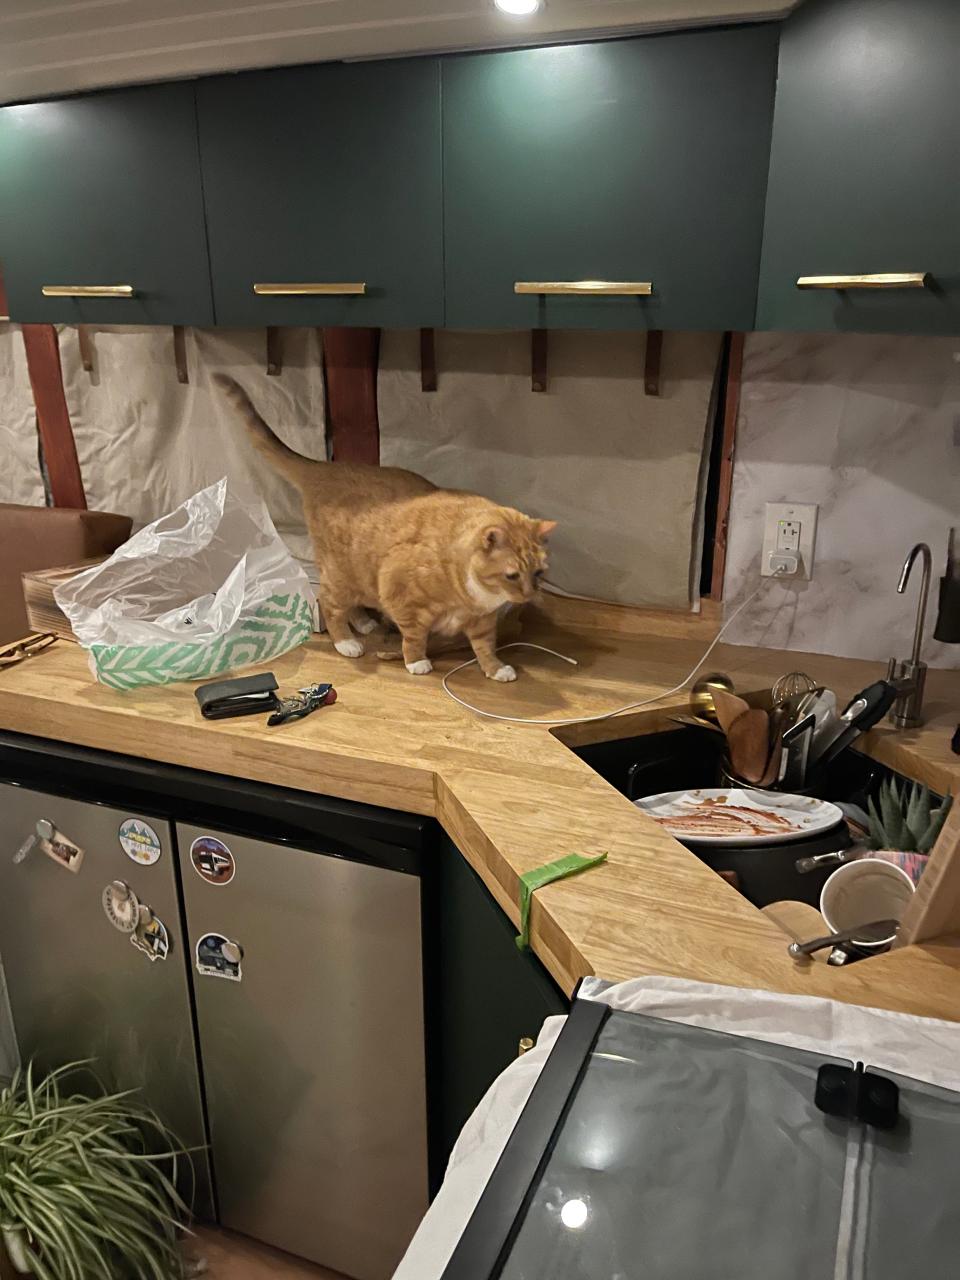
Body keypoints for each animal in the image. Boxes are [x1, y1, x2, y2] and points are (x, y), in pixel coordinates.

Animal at [213, 373, 552, 680]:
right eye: (512, 575)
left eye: (538, 573)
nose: (529, 595)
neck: (475, 594)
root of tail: (326, 467)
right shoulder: (400, 598)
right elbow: (414, 637)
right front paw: (416, 662)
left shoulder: (482, 622)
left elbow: (485, 648)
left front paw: (496, 669)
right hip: (344, 575)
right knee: (329, 604)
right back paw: (347, 642)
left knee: (348, 605)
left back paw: (364, 623)